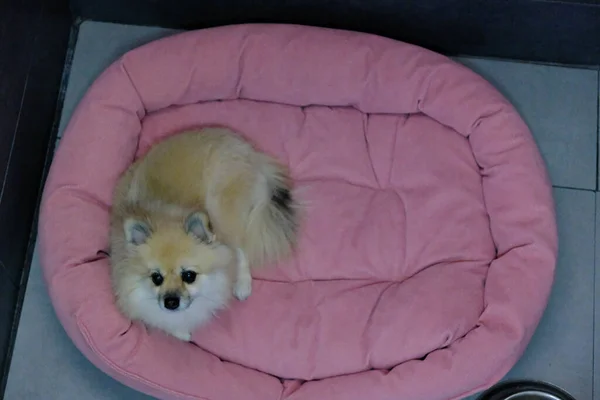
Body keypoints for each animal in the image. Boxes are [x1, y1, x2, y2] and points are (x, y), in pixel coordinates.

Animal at [109, 126, 298, 340]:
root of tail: (247, 150)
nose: (171, 302)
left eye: (189, 276)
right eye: (156, 278)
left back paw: (242, 285)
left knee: (241, 248)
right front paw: (181, 333)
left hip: (222, 211)